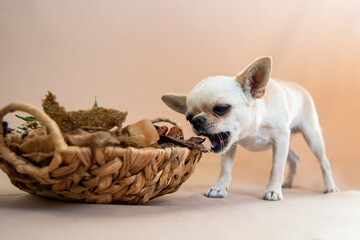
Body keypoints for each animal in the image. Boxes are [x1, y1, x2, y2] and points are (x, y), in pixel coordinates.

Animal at [162, 56, 338, 201]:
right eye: (189, 117)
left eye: (221, 108)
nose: (197, 121)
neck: (253, 127)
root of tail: (298, 86)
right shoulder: (230, 146)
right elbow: (225, 169)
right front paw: (220, 188)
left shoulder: (280, 140)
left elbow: (276, 168)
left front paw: (273, 190)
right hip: (288, 142)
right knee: (294, 158)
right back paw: (288, 182)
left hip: (312, 136)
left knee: (324, 162)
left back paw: (330, 186)